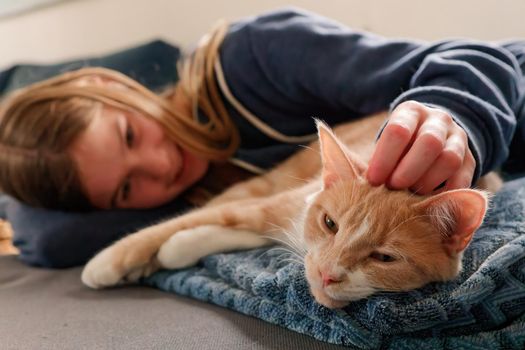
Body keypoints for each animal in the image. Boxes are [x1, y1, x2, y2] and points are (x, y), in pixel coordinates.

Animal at [83, 113, 496, 308]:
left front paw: (175, 250)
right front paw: (107, 262)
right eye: (330, 224)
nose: (328, 274)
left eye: (384, 257)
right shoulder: (272, 205)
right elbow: (191, 220)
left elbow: (222, 234)